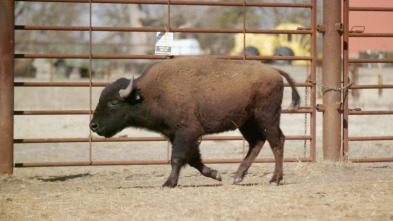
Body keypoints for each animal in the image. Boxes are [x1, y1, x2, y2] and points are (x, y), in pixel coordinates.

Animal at [91, 56, 300, 187]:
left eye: (113, 102)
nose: (93, 125)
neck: (149, 93)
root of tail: (274, 70)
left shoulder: (187, 132)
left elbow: (177, 158)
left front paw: (168, 183)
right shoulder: (179, 135)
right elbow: (193, 160)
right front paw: (216, 174)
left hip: (267, 118)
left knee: (277, 142)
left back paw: (274, 180)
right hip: (246, 123)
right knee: (256, 142)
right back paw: (238, 177)